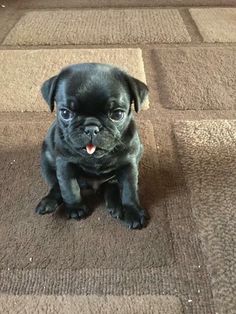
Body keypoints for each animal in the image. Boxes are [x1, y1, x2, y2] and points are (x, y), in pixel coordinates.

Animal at [34, 63, 149, 228]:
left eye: (117, 114)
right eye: (65, 113)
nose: (91, 128)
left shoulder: (129, 165)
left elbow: (129, 190)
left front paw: (133, 211)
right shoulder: (65, 164)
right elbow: (69, 188)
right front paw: (75, 208)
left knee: (112, 184)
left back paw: (115, 205)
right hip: (46, 160)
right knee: (56, 185)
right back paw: (48, 202)